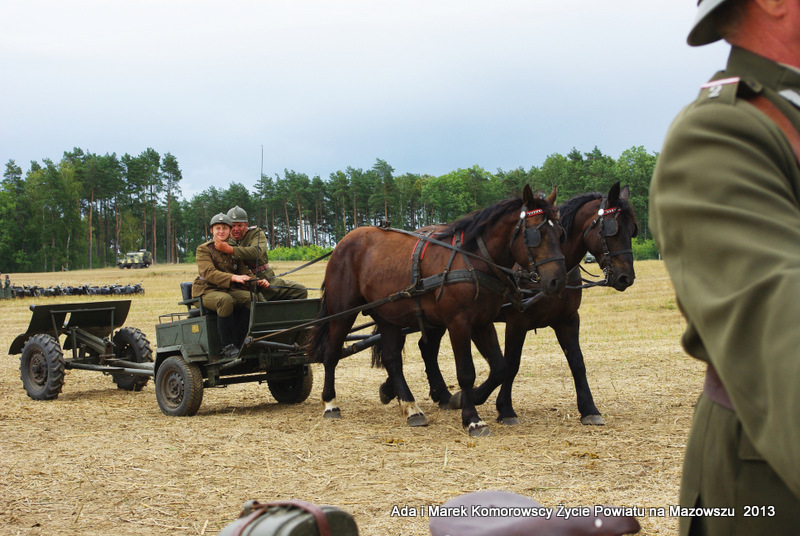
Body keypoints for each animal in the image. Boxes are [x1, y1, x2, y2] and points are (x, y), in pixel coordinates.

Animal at [307, 185, 567, 436]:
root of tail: (342, 242)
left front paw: (465, 400)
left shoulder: (482, 322)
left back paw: (411, 408)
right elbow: (466, 372)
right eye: (537, 234)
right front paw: (472, 419)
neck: (474, 259)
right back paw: (330, 403)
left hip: (388, 315)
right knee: (331, 353)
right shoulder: (459, 323)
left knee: (392, 359)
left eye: (560, 234)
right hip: (343, 311)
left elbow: (500, 367)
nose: (557, 281)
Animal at [416, 182, 638, 425]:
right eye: (612, 229)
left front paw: (589, 408)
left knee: (427, 348)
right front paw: (502, 408)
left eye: (632, 230)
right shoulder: (516, 323)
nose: (626, 277)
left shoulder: (568, 319)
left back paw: (440, 394)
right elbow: (510, 364)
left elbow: (577, 362)